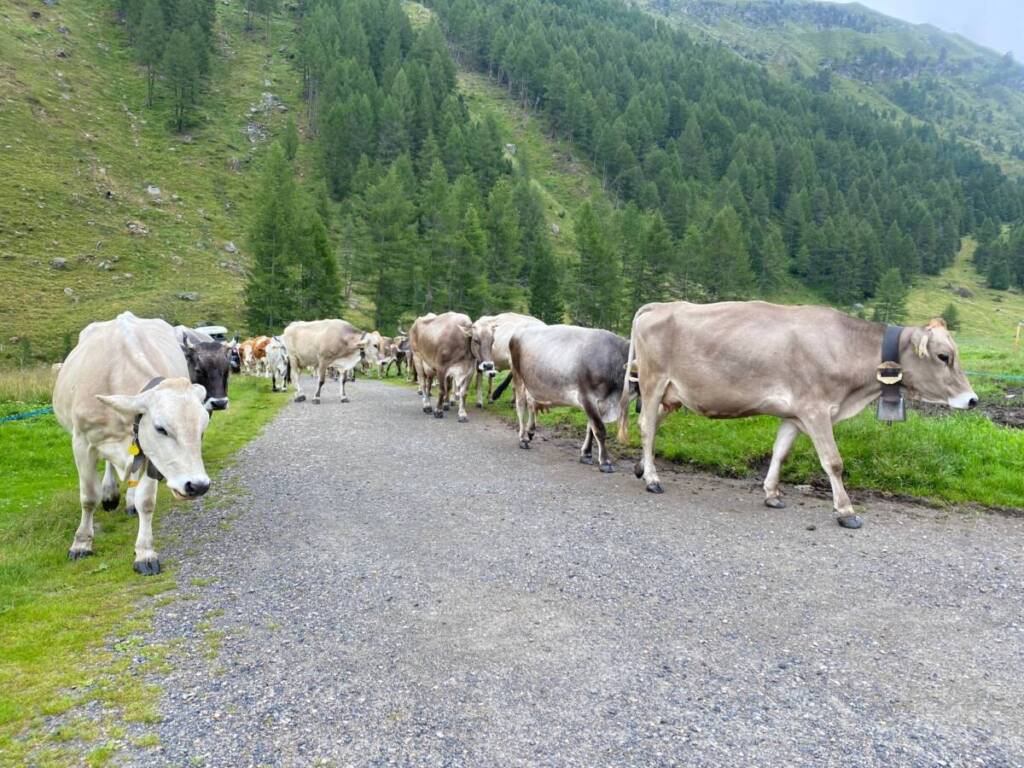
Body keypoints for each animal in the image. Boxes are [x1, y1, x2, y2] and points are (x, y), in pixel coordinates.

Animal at [54, 309, 211, 573]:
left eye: (201, 430)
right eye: (161, 428)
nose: (197, 485)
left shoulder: (149, 455)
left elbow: (146, 501)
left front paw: (145, 553)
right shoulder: (82, 443)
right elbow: (88, 497)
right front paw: (81, 543)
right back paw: (110, 494)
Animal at [618, 301, 978, 528]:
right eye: (943, 356)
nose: (972, 399)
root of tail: (661, 306)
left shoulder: (794, 414)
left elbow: (780, 453)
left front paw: (772, 494)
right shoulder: (816, 409)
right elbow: (833, 461)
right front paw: (846, 511)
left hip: (673, 394)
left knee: (654, 424)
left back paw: (640, 468)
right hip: (653, 381)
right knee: (646, 426)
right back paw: (652, 478)